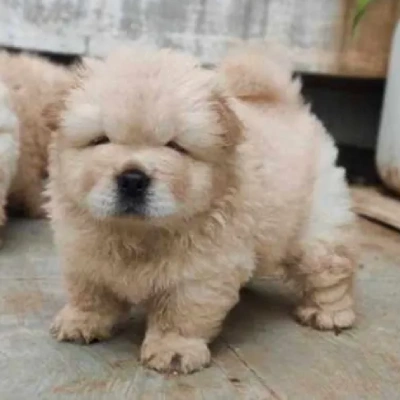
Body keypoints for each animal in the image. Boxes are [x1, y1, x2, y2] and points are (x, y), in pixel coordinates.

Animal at [48, 46, 358, 376]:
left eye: (175, 146)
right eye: (100, 140)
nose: (132, 179)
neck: (138, 234)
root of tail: (288, 105)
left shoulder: (200, 270)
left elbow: (180, 313)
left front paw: (173, 350)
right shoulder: (82, 250)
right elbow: (89, 292)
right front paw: (80, 321)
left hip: (317, 232)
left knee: (331, 272)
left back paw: (327, 313)